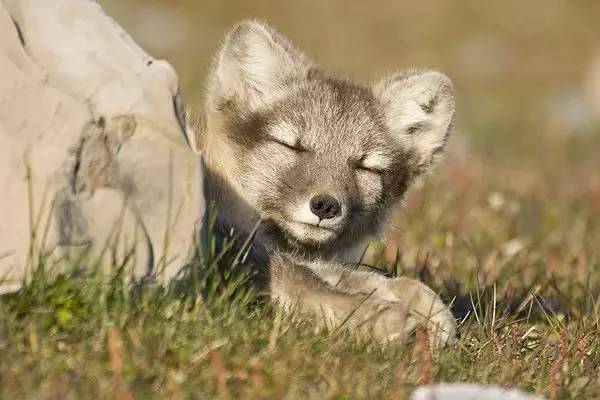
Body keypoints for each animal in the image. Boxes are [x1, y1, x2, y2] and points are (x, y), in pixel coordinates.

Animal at [199, 20, 458, 346]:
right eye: (292, 146)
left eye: (365, 166)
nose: (325, 206)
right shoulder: (224, 244)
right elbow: (296, 278)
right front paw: (378, 318)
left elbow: (336, 272)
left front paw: (420, 301)